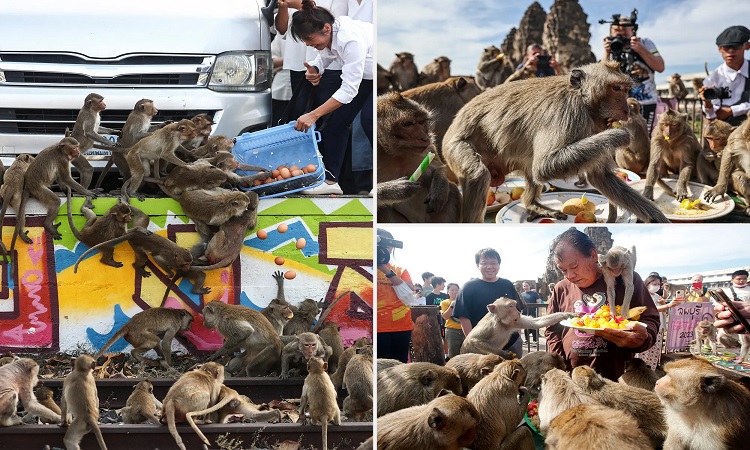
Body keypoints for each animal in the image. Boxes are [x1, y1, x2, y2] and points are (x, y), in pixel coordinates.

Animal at [378, 92, 462, 222]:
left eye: (421, 122)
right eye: (408, 124)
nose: (424, 138)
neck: (397, 155)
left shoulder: (430, 147)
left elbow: (441, 168)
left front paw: (440, 183)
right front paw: (396, 189)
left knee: (452, 190)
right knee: (382, 208)